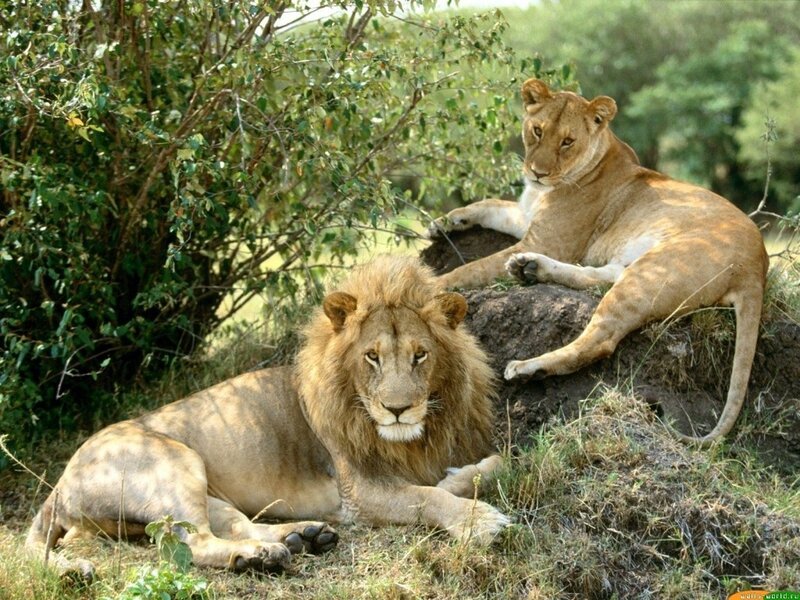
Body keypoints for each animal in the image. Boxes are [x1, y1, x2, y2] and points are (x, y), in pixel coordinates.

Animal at [25, 256, 509, 579]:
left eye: (420, 355)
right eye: (371, 357)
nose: (397, 409)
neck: (413, 437)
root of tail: (60, 483)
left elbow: (493, 465)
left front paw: (459, 477)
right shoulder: (359, 492)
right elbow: (426, 498)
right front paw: (480, 521)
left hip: (204, 489)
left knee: (236, 524)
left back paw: (302, 537)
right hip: (175, 463)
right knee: (191, 543)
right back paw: (260, 558)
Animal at [427, 79, 769, 445]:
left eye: (568, 141)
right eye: (537, 130)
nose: (537, 173)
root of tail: (758, 264)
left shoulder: (549, 240)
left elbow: (472, 268)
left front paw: (431, 283)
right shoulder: (528, 218)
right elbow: (488, 205)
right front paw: (444, 222)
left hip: (653, 271)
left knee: (600, 339)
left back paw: (527, 366)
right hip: (635, 266)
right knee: (600, 277)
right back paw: (529, 268)